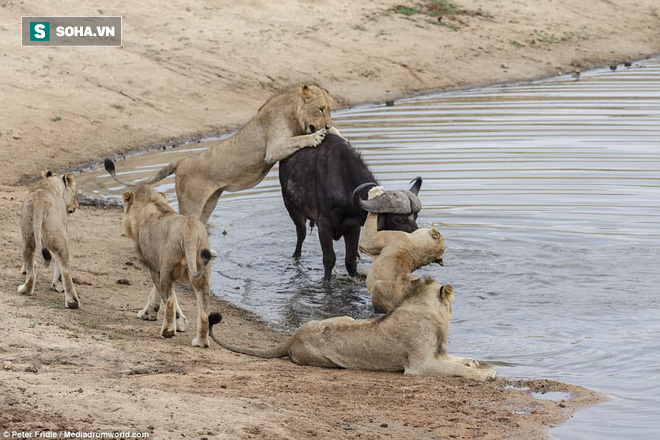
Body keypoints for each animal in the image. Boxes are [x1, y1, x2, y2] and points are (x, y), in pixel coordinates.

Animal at [18, 168, 80, 310]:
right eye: (75, 193)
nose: (76, 206)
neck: (52, 182)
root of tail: (39, 202)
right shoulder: (65, 232)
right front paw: (56, 285)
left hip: (28, 237)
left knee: (31, 271)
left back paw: (25, 289)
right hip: (57, 237)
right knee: (65, 270)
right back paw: (72, 302)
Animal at [104, 84, 340, 225]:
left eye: (329, 109)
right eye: (320, 109)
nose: (327, 125)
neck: (292, 113)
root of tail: (182, 160)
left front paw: (335, 133)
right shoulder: (274, 149)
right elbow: (298, 140)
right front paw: (317, 137)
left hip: (209, 203)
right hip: (191, 204)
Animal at [123, 184, 214, 346]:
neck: (149, 203)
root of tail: (189, 231)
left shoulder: (155, 267)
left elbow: (168, 297)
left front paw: (178, 323)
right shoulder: (161, 269)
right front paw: (149, 312)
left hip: (168, 267)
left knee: (170, 302)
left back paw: (168, 332)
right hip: (202, 275)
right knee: (204, 314)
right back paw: (201, 342)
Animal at [206, 278, 496, 382]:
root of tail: (294, 335)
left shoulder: (437, 354)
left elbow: (457, 359)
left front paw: (477, 363)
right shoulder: (419, 365)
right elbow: (455, 368)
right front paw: (484, 374)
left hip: (344, 316)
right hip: (328, 361)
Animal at [278, 132, 422, 280]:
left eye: (416, 216)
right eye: (397, 219)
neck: (344, 183)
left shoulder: (353, 227)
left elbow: (350, 260)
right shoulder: (324, 226)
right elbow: (329, 258)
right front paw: (326, 280)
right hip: (292, 208)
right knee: (301, 233)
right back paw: (296, 255)